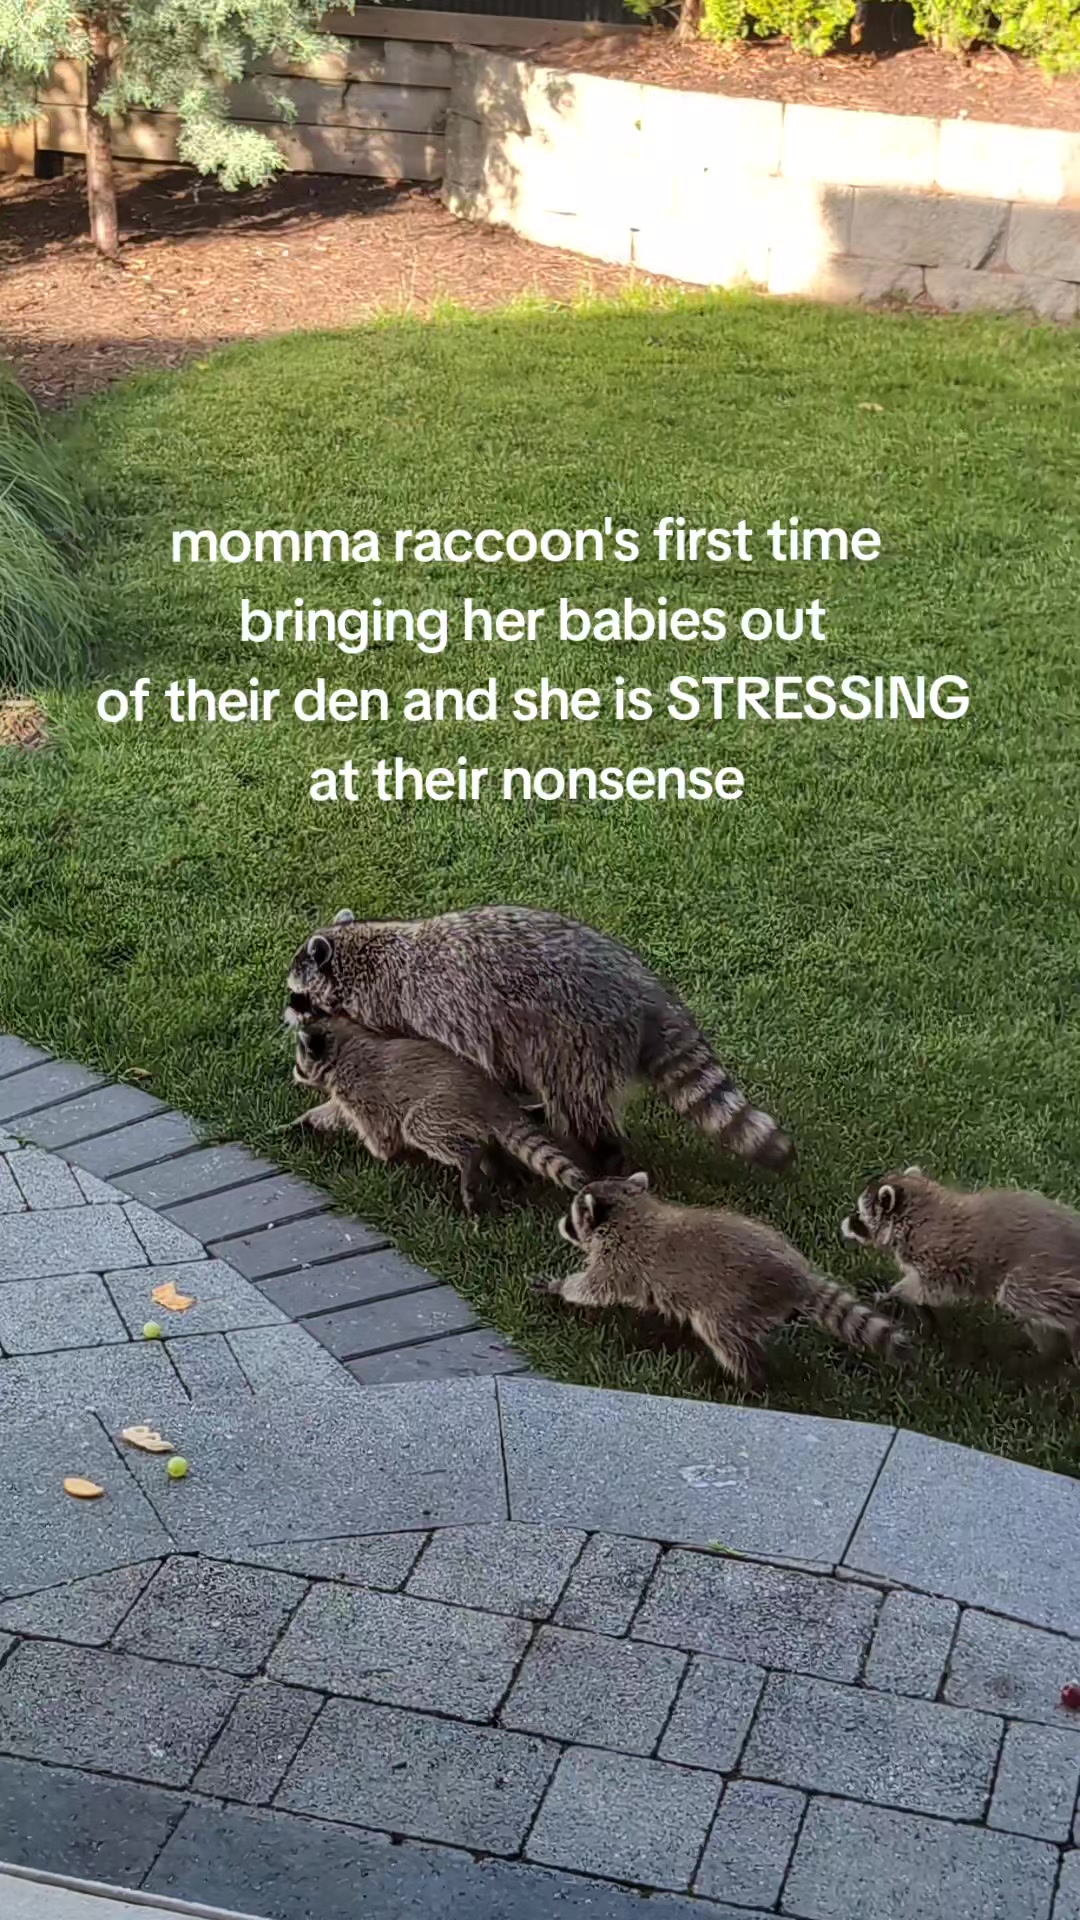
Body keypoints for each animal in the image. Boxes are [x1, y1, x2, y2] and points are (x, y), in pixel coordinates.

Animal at [286, 906, 792, 1174]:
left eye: (295, 994)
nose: (284, 1016)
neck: (362, 955)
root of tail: (642, 990)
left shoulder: (395, 1018)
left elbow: (388, 1082)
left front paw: (328, 1114)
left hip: (577, 1039)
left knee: (577, 1101)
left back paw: (602, 1154)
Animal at [293, 1015, 587, 1213]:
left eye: (299, 1057)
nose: (294, 1071)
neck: (345, 1044)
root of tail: (493, 1101)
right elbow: (335, 1112)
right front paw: (306, 1120)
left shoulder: (361, 1087)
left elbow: (382, 1133)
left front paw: (379, 1152)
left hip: (441, 1106)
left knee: (418, 1125)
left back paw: (469, 1158)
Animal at [539, 1172, 908, 1389]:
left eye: (573, 1216)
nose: (559, 1224)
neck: (631, 1209)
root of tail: (798, 1274)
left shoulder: (620, 1261)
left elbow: (594, 1287)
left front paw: (561, 1287)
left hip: (737, 1302)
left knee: (724, 1336)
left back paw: (750, 1378)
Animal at [842, 1168, 1080, 1360]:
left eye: (859, 1214)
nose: (844, 1222)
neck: (920, 1212)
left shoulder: (941, 1258)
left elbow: (933, 1289)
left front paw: (894, 1293)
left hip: (1042, 1273)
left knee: (1018, 1291)